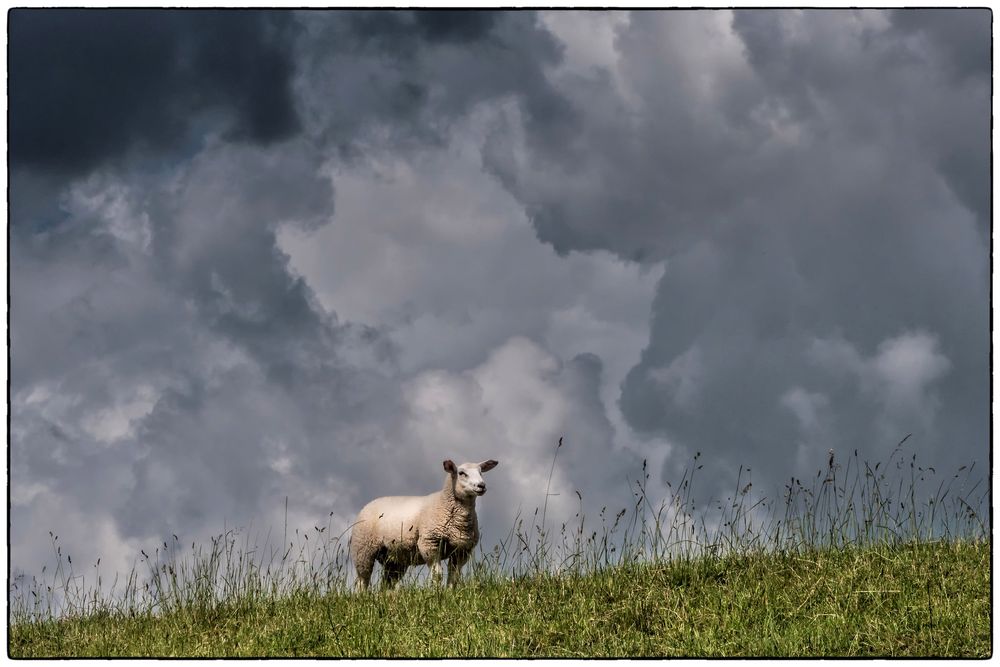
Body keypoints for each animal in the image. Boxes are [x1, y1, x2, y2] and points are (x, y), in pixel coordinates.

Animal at [352, 456, 500, 592]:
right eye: (461, 473)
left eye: (481, 472)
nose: (481, 486)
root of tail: (369, 504)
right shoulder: (429, 543)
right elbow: (437, 574)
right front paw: (437, 593)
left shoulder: (462, 549)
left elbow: (454, 576)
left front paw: (450, 593)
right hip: (363, 549)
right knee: (362, 579)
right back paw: (362, 597)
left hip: (395, 558)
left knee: (388, 583)